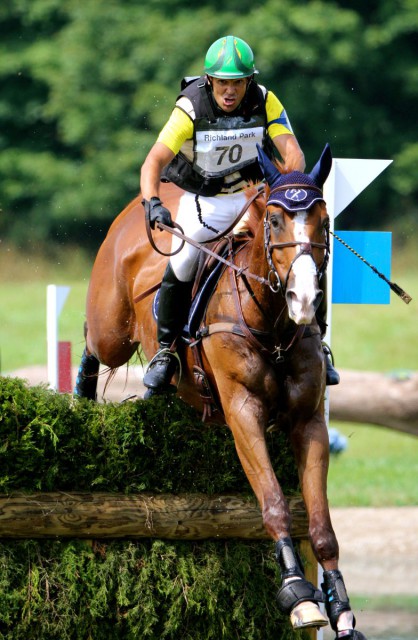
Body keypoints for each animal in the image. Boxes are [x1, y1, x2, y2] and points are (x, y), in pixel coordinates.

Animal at [74, 146, 366, 640]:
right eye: (274, 221)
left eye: (324, 220)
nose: (305, 299)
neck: (272, 325)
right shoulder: (243, 413)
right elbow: (273, 502)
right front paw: (299, 595)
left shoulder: (309, 422)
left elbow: (321, 522)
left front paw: (340, 608)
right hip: (111, 328)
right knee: (93, 342)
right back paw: (81, 396)